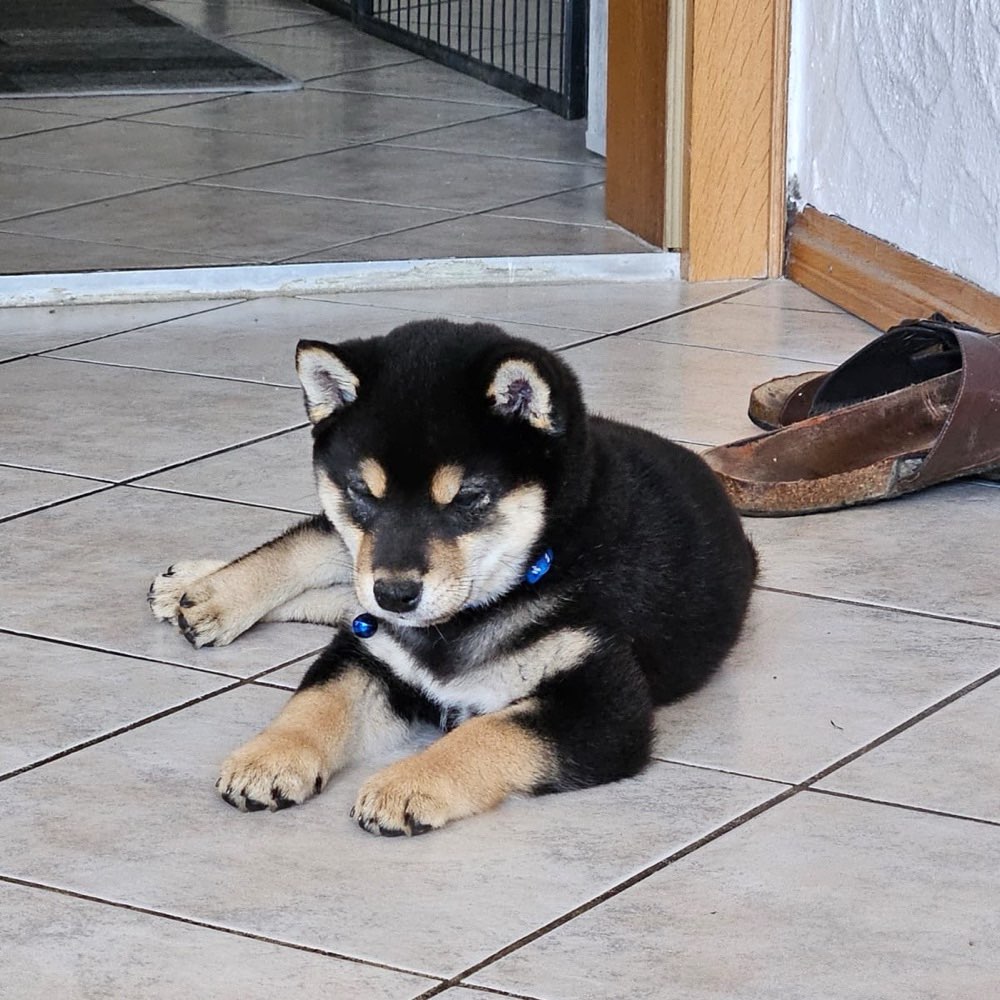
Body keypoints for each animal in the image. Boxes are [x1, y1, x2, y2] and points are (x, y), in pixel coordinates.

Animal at [148, 320, 752, 836]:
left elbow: (489, 731)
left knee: (339, 587)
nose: (395, 593)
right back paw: (205, 590)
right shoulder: (371, 647)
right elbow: (318, 699)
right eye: (363, 492)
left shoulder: (603, 704)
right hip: (355, 570)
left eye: (466, 498)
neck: (539, 562)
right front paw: (271, 756)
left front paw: (408, 783)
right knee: (317, 549)